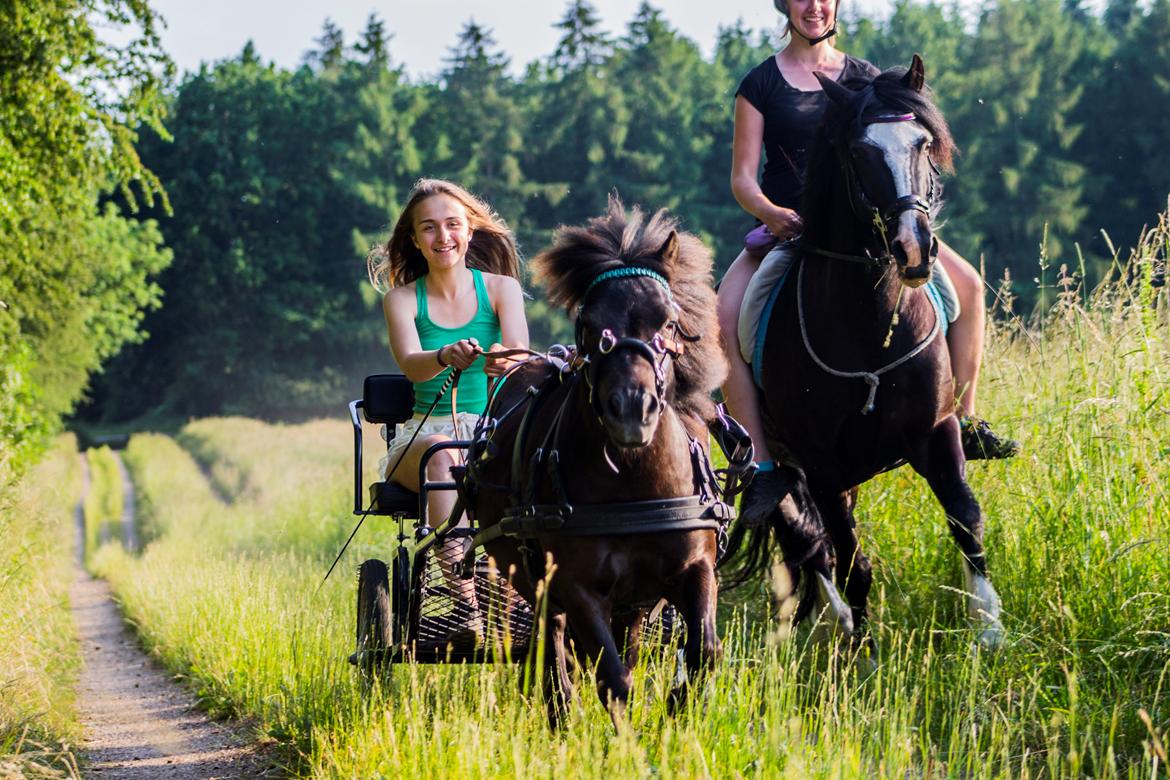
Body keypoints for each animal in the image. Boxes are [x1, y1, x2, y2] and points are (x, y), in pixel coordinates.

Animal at [465, 201, 730, 725]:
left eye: (667, 322)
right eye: (587, 323)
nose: (630, 407)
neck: (632, 486)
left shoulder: (693, 568)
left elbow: (702, 652)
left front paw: (675, 712)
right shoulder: (575, 584)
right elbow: (613, 677)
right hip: (528, 574)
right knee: (553, 643)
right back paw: (560, 709)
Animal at [720, 57, 1006, 650]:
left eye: (923, 144)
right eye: (858, 152)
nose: (915, 248)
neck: (869, 330)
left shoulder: (936, 431)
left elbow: (965, 516)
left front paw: (990, 632)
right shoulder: (821, 467)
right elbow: (853, 564)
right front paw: (864, 656)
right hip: (789, 467)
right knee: (812, 546)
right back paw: (841, 624)